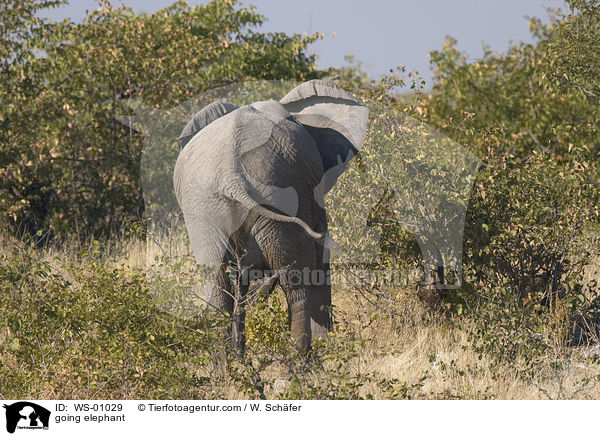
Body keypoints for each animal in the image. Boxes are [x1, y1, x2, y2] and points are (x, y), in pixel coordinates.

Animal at [173, 79, 368, 354]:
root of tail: (231, 175)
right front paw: (327, 345)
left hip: (204, 211)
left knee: (217, 287)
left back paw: (228, 365)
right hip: (278, 195)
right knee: (297, 285)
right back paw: (303, 360)